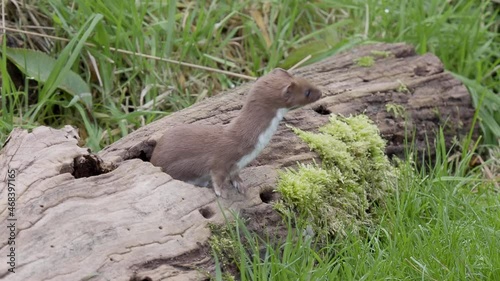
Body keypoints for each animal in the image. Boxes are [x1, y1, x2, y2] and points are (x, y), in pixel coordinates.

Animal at [149, 67, 320, 195]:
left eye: (307, 81)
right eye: (307, 91)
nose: (321, 92)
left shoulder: (238, 164)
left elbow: (235, 174)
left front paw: (241, 185)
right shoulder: (222, 157)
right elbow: (217, 174)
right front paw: (221, 191)